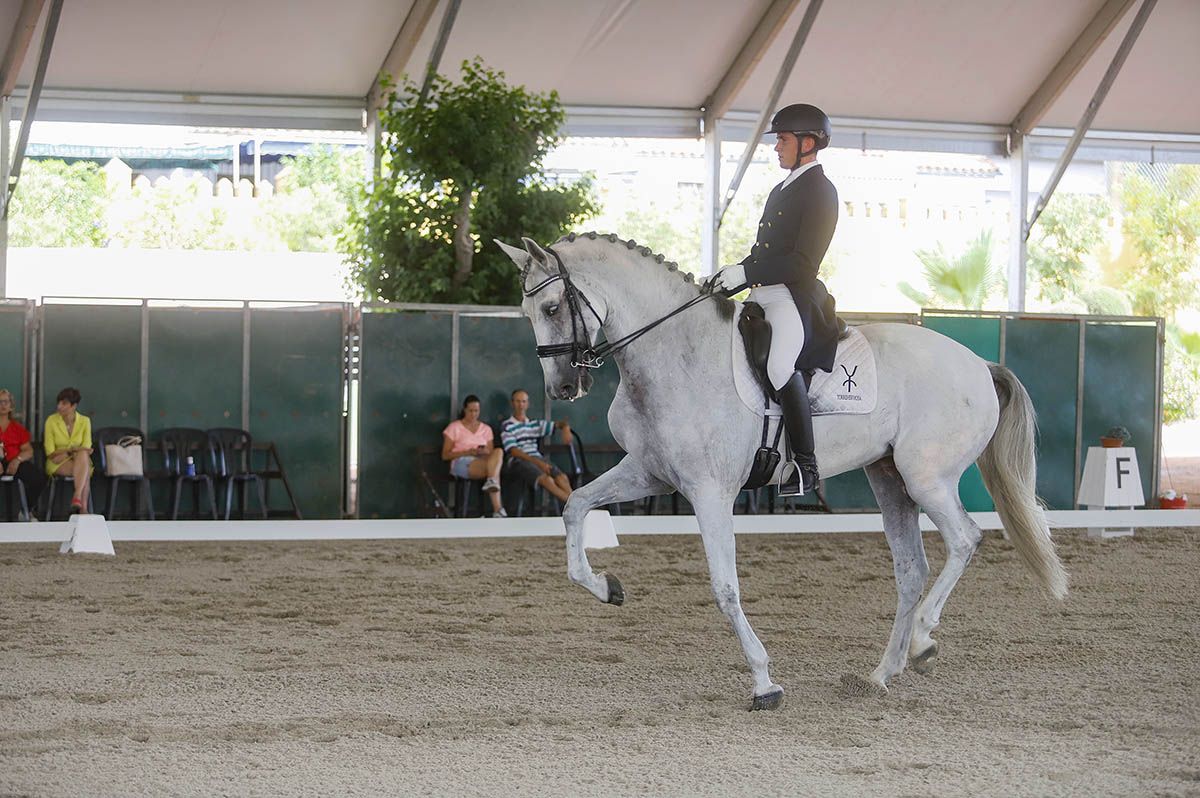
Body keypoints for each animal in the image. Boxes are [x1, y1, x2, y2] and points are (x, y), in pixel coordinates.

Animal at [496, 231, 1070, 710]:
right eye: (526, 312)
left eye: (552, 306)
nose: (563, 387)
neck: (674, 354)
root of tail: (980, 365)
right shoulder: (649, 475)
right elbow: (575, 507)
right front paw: (606, 587)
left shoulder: (709, 491)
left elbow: (725, 586)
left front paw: (764, 682)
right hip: (890, 481)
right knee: (912, 570)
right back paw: (881, 675)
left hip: (927, 478)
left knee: (966, 539)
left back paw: (925, 643)